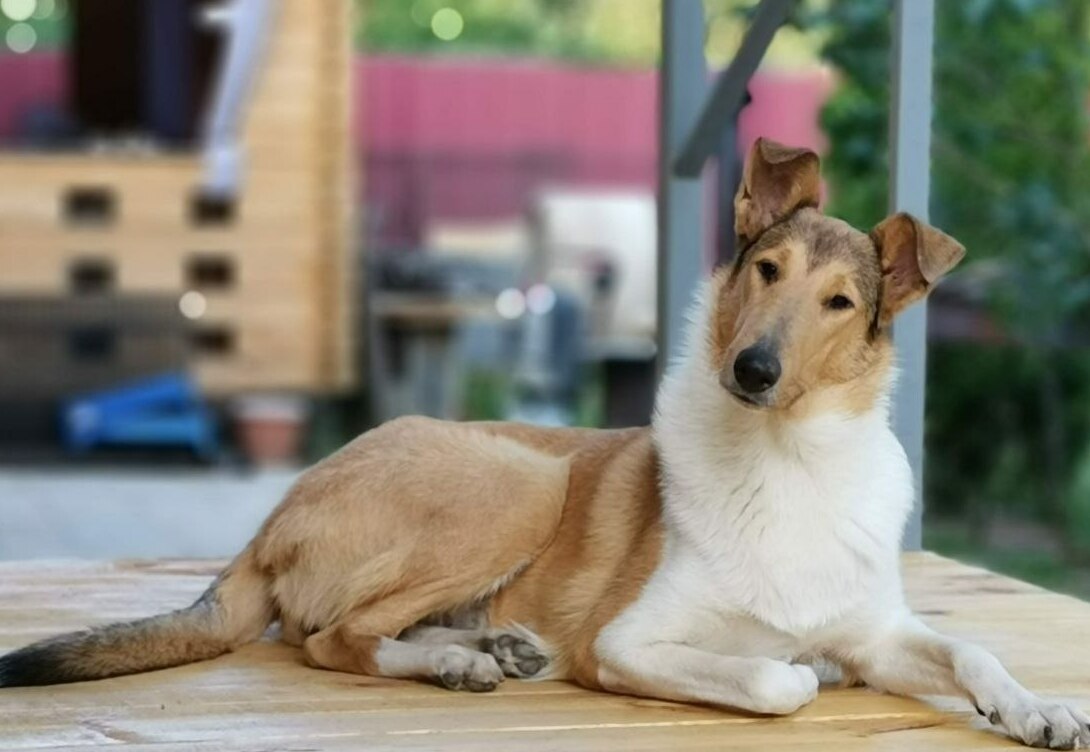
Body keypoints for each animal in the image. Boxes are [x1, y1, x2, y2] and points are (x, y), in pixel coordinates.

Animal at [1, 139, 1085, 749]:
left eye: (841, 302)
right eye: (766, 268)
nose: (753, 369)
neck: (789, 461)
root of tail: (272, 516)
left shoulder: (880, 627)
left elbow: (972, 647)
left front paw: (1037, 710)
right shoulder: (627, 640)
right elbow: (776, 678)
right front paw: (808, 671)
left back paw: (489, 644)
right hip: (521, 478)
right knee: (332, 637)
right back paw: (458, 663)